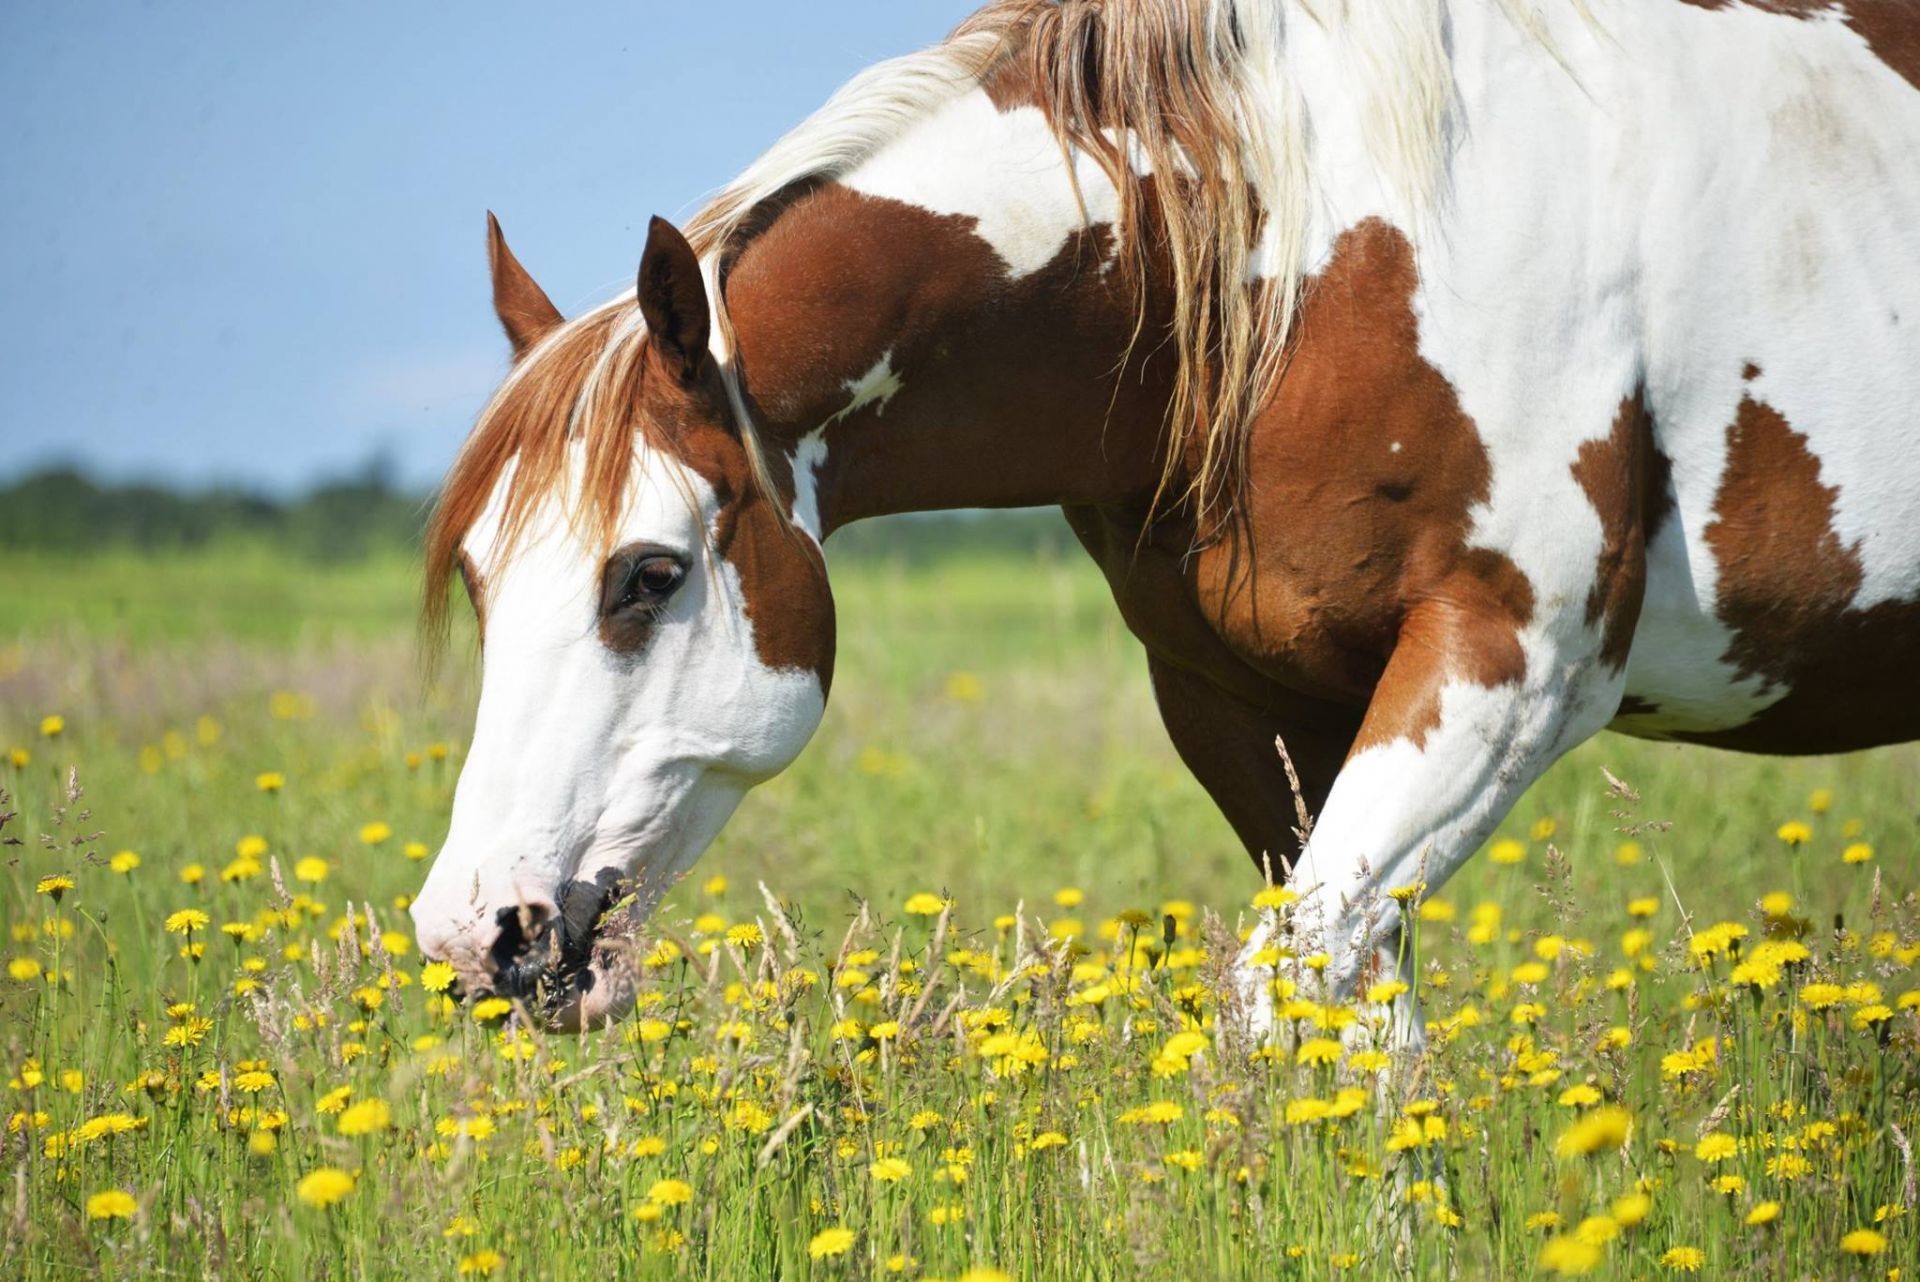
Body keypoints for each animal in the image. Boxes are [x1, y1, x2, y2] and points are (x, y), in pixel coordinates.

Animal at [405, 0, 1920, 1028]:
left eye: (649, 574)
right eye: (476, 578)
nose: (477, 931)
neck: (1303, 254)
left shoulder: (1510, 666)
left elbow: (1285, 994)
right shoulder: (1240, 700)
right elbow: (1353, 1018)